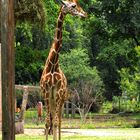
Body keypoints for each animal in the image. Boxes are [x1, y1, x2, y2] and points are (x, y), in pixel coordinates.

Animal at [40, 0, 87, 139]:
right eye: (73, 6)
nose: (85, 14)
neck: (53, 65)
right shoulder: (46, 93)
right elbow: (47, 122)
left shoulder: (58, 93)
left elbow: (55, 122)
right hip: (52, 100)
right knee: (53, 120)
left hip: (61, 100)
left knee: (59, 121)